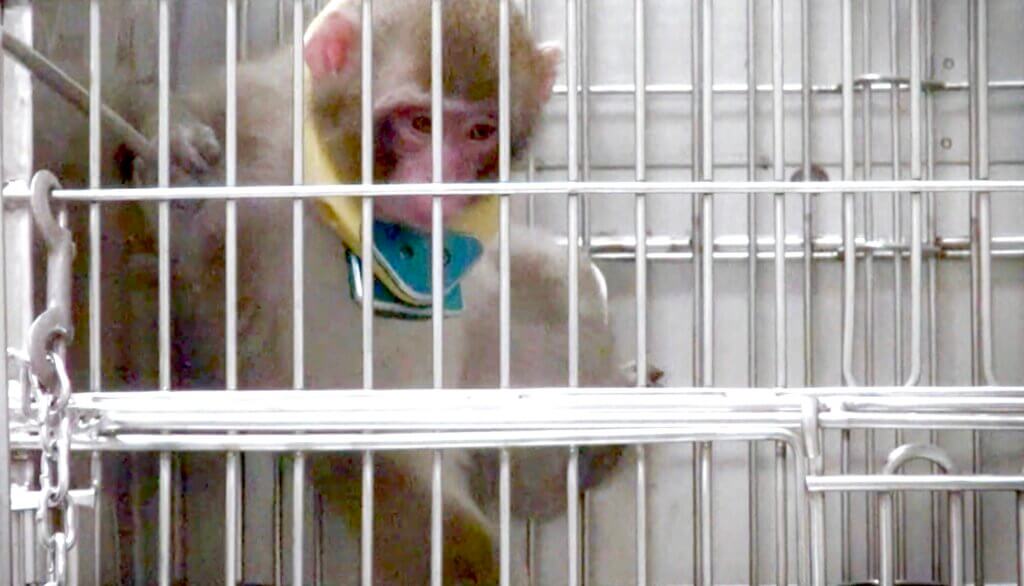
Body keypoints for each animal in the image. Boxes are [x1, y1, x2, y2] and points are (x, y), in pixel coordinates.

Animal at [18, 2, 630, 581]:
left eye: (481, 131)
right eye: (420, 122)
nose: (443, 180)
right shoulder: (257, 117)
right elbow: (179, 216)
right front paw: (170, 145)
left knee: (559, 281)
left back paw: (600, 440)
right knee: (446, 536)